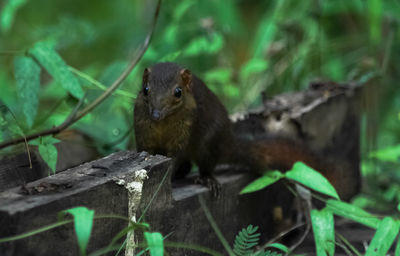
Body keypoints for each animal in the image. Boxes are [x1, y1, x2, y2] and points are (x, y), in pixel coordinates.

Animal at [134, 62, 360, 200]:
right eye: (145, 90)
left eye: (178, 92)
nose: (156, 114)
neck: (163, 127)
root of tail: (228, 139)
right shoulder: (143, 134)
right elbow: (146, 152)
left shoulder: (183, 135)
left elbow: (174, 160)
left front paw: (168, 178)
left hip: (207, 143)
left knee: (205, 165)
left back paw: (207, 180)